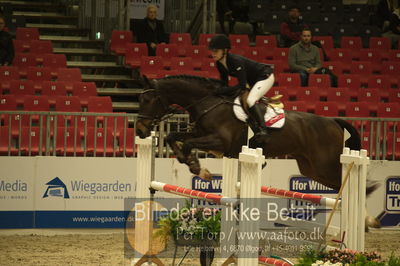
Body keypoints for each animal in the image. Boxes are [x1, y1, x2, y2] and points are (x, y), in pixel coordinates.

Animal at [136, 75, 376, 195]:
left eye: (147, 100)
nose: (139, 130)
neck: (207, 103)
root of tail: (333, 121)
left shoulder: (220, 142)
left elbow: (187, 145)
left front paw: (197, 168)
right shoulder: (200, 135)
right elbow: (173, 138)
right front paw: (192, 164)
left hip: (324, 164)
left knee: (347, 182)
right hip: (311, 168)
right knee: (338, 184)